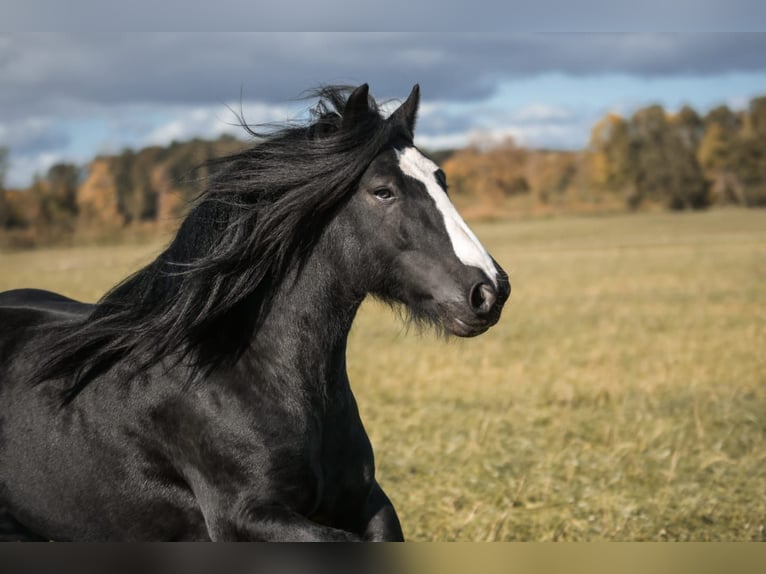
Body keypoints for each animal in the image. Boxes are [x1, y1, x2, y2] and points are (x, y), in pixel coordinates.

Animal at [0, 83, 510, 544]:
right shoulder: (245, 518)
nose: (489, 291)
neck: (240, 370)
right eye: (382, 192)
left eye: (441, 180)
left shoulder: (367, 500)